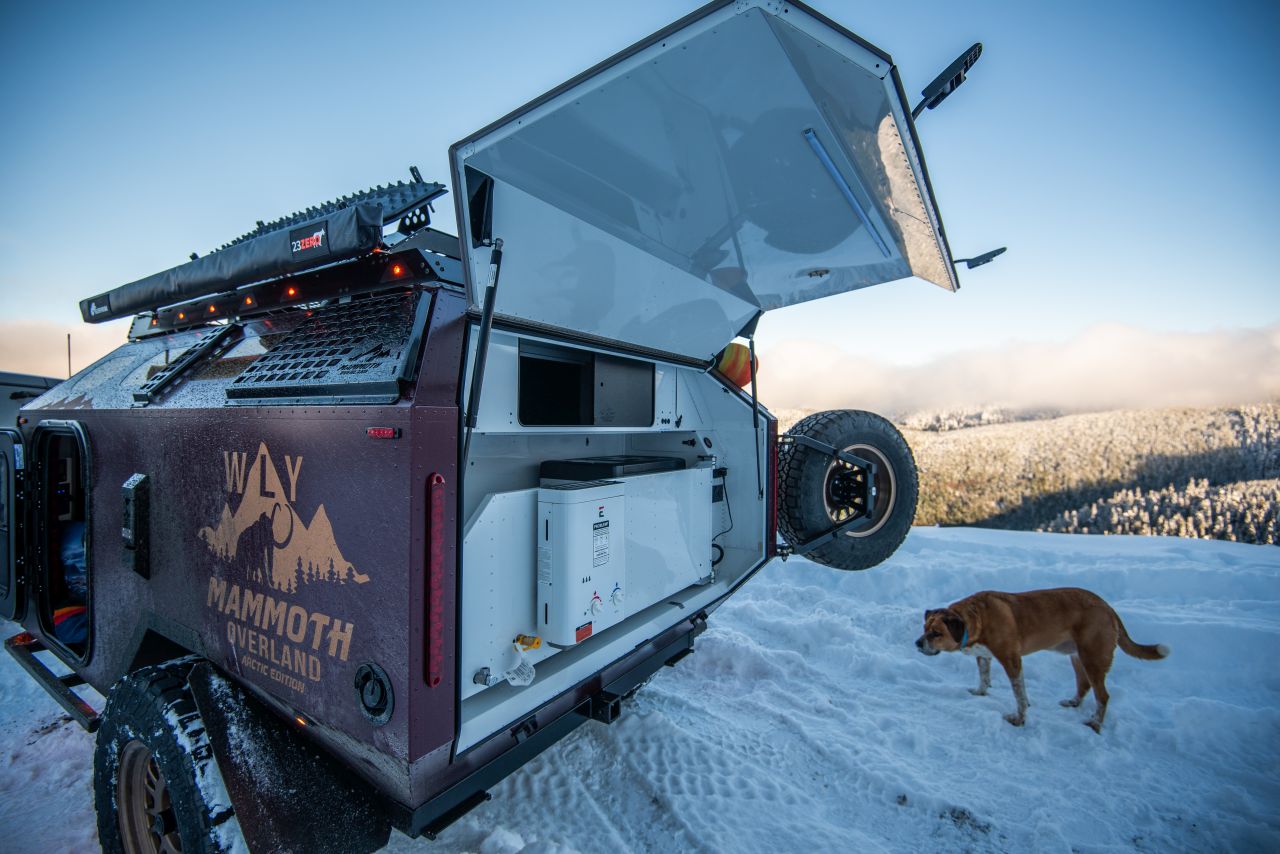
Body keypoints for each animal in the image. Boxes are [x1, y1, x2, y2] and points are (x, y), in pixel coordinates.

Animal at [911, 588, 1172, 737]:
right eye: (924, 628)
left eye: (936, 633)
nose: (917, 643)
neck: (978, 618)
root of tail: (1108, 608)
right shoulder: (984, 655)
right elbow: (984, 676)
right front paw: (980, 692)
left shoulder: (1011, 659)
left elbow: (1019, 693)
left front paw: (1019, 719)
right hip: (1077, 657)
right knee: (1084, 684)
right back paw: (1073, 702)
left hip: (1093, 657)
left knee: (1103, 696)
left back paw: (1095, 724)